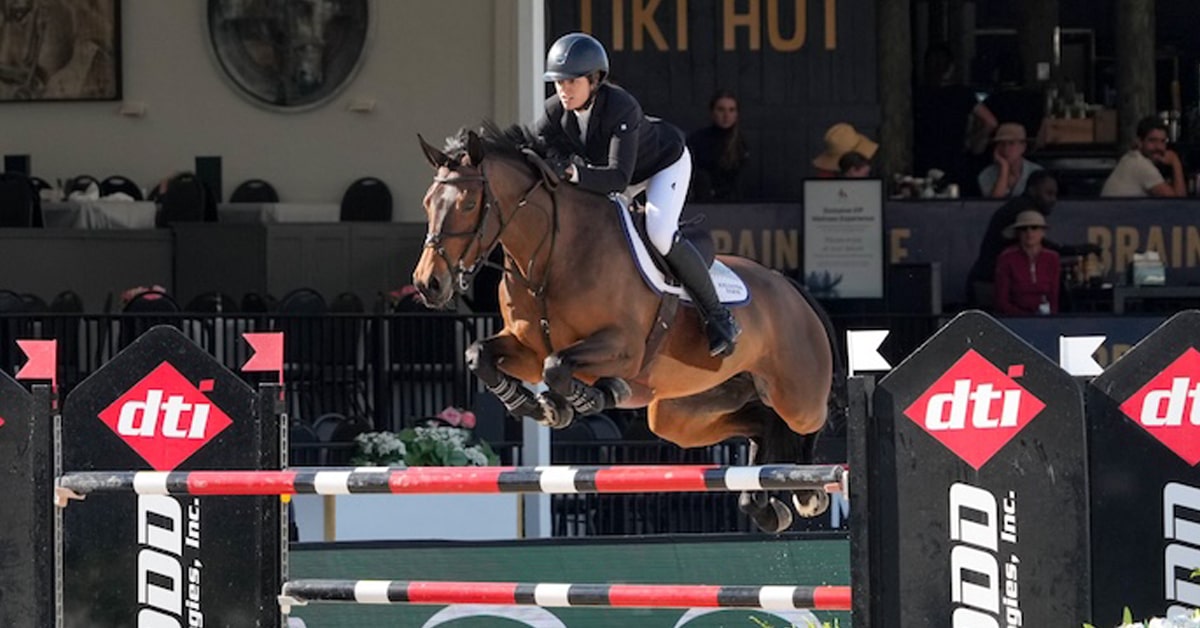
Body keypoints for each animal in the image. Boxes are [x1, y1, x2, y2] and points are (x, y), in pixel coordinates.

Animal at [411, 122, 842, 532]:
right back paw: (763, 505)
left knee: (807, 423)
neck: (551, 258)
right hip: (680, 413)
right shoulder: (526, 349)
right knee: (761, 424)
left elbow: (558, 365)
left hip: (798, 398)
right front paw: (538, 405)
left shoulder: (624, 348)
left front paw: (589, 398)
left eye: (469, 204)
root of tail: (790, 286)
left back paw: (811, 492)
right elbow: (481, 355)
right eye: (427, 202)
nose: (427, 284)